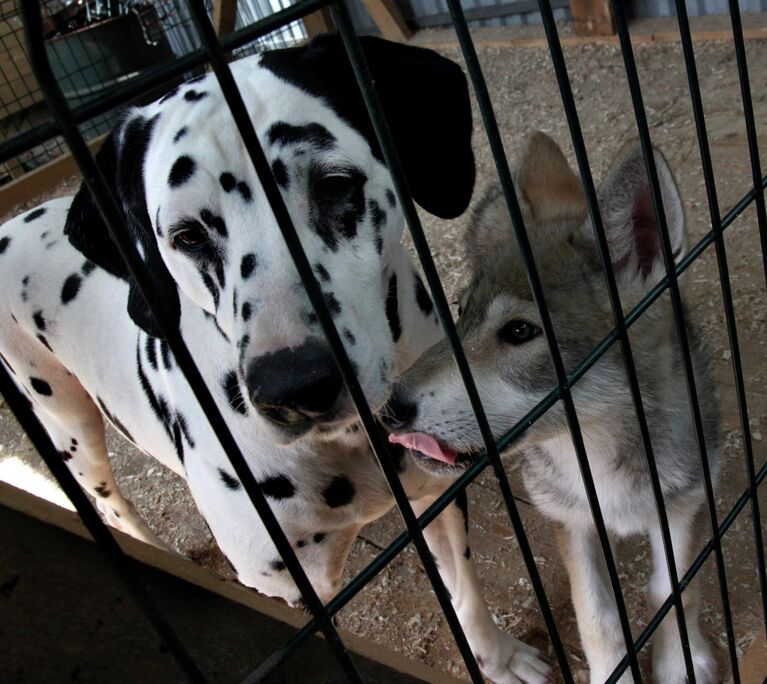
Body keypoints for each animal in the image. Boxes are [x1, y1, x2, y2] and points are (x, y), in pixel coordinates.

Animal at [0, 38, 552, 684]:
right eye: (187, 236)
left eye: (334, 184)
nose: (294, 388)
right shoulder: (295, 590)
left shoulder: (436, 492)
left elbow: (464, 586)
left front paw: (498, 657)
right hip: (67, 423)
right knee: (109, 498)